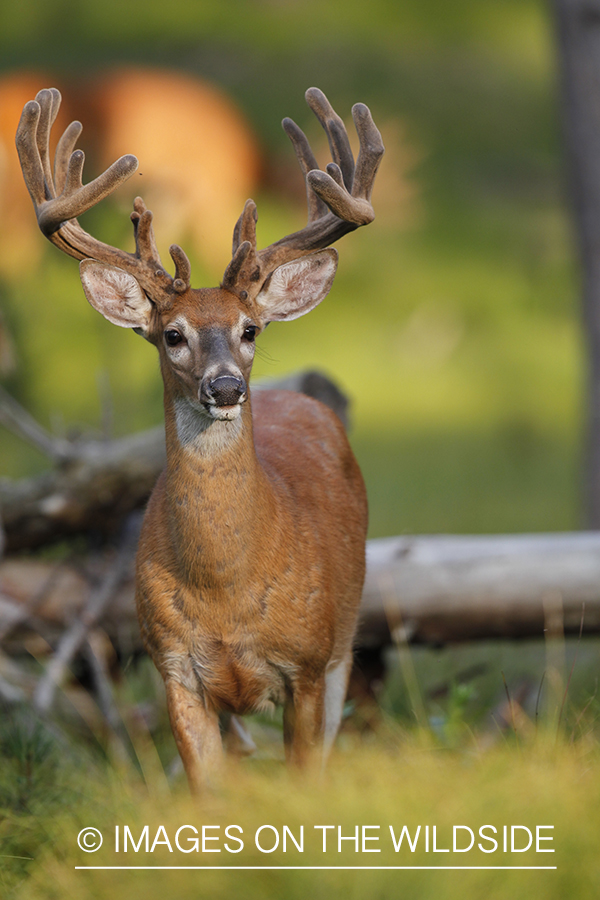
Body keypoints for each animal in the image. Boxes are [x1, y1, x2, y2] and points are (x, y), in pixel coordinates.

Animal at [15, 82, 384, 788]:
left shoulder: (307, 664)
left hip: (345, 641)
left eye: (251, 330)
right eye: (172, 334)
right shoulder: (174, 669)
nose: (226, 388)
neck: (226, 592)